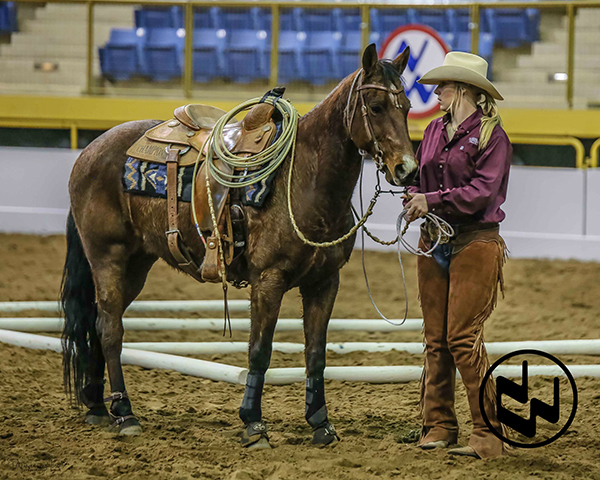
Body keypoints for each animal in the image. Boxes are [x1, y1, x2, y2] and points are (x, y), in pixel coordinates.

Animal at [61, 43, 418, 448]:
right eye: (375, 106)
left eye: (406, 106)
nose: (407, 169)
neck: (303, 180)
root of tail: (90, 151)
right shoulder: (268, 281)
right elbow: (259, 351)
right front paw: (254, 424)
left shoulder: (325, 282)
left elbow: (316, 352)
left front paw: (320, 424)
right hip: (108, 257)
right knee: (110, 329)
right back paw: (124, 413)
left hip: (135, 265)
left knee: (97, 321)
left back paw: (96, 406)